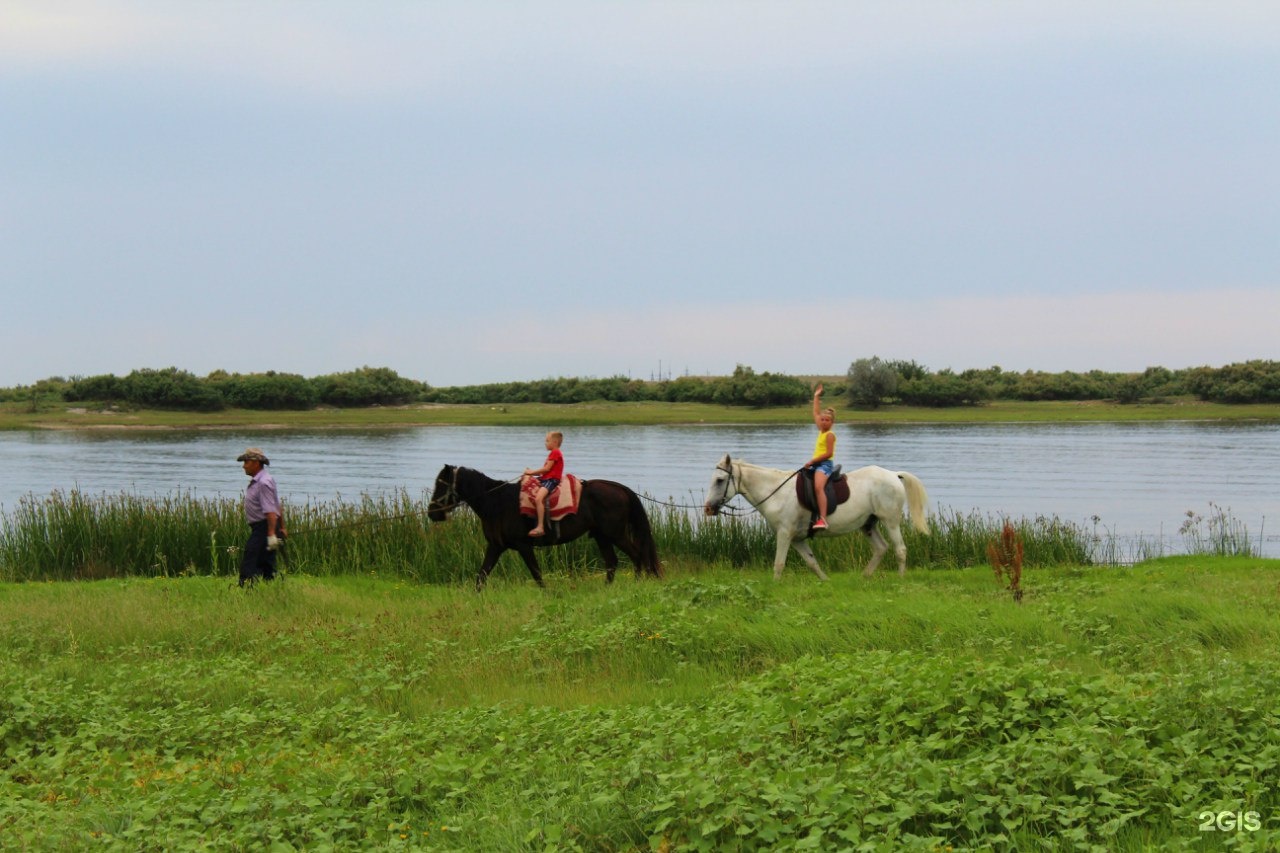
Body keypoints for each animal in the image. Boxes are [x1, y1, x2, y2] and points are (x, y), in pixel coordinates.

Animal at [430, 461, 665, 589]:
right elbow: (481, 576)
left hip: (615, 534)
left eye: (440, 485)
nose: (432, 513)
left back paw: (637, 583)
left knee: (636, 555)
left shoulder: (524, 546)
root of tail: (619, 488)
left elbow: (536, 574)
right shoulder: (495, 547)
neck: (497, 504)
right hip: (602, 536)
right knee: (612, 562)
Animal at [706, 450, 926, 578]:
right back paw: (865, 576)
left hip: (890, 521)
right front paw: (826, 581)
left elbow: (779, 564)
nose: (708, 508)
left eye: (719, 480)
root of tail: (893, 475)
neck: (776, 492)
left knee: (900, 549)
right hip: (868, 525)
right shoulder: (797, 538)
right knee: (881, 548)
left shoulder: (785, 534)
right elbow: (812, 562)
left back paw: (900, 579)